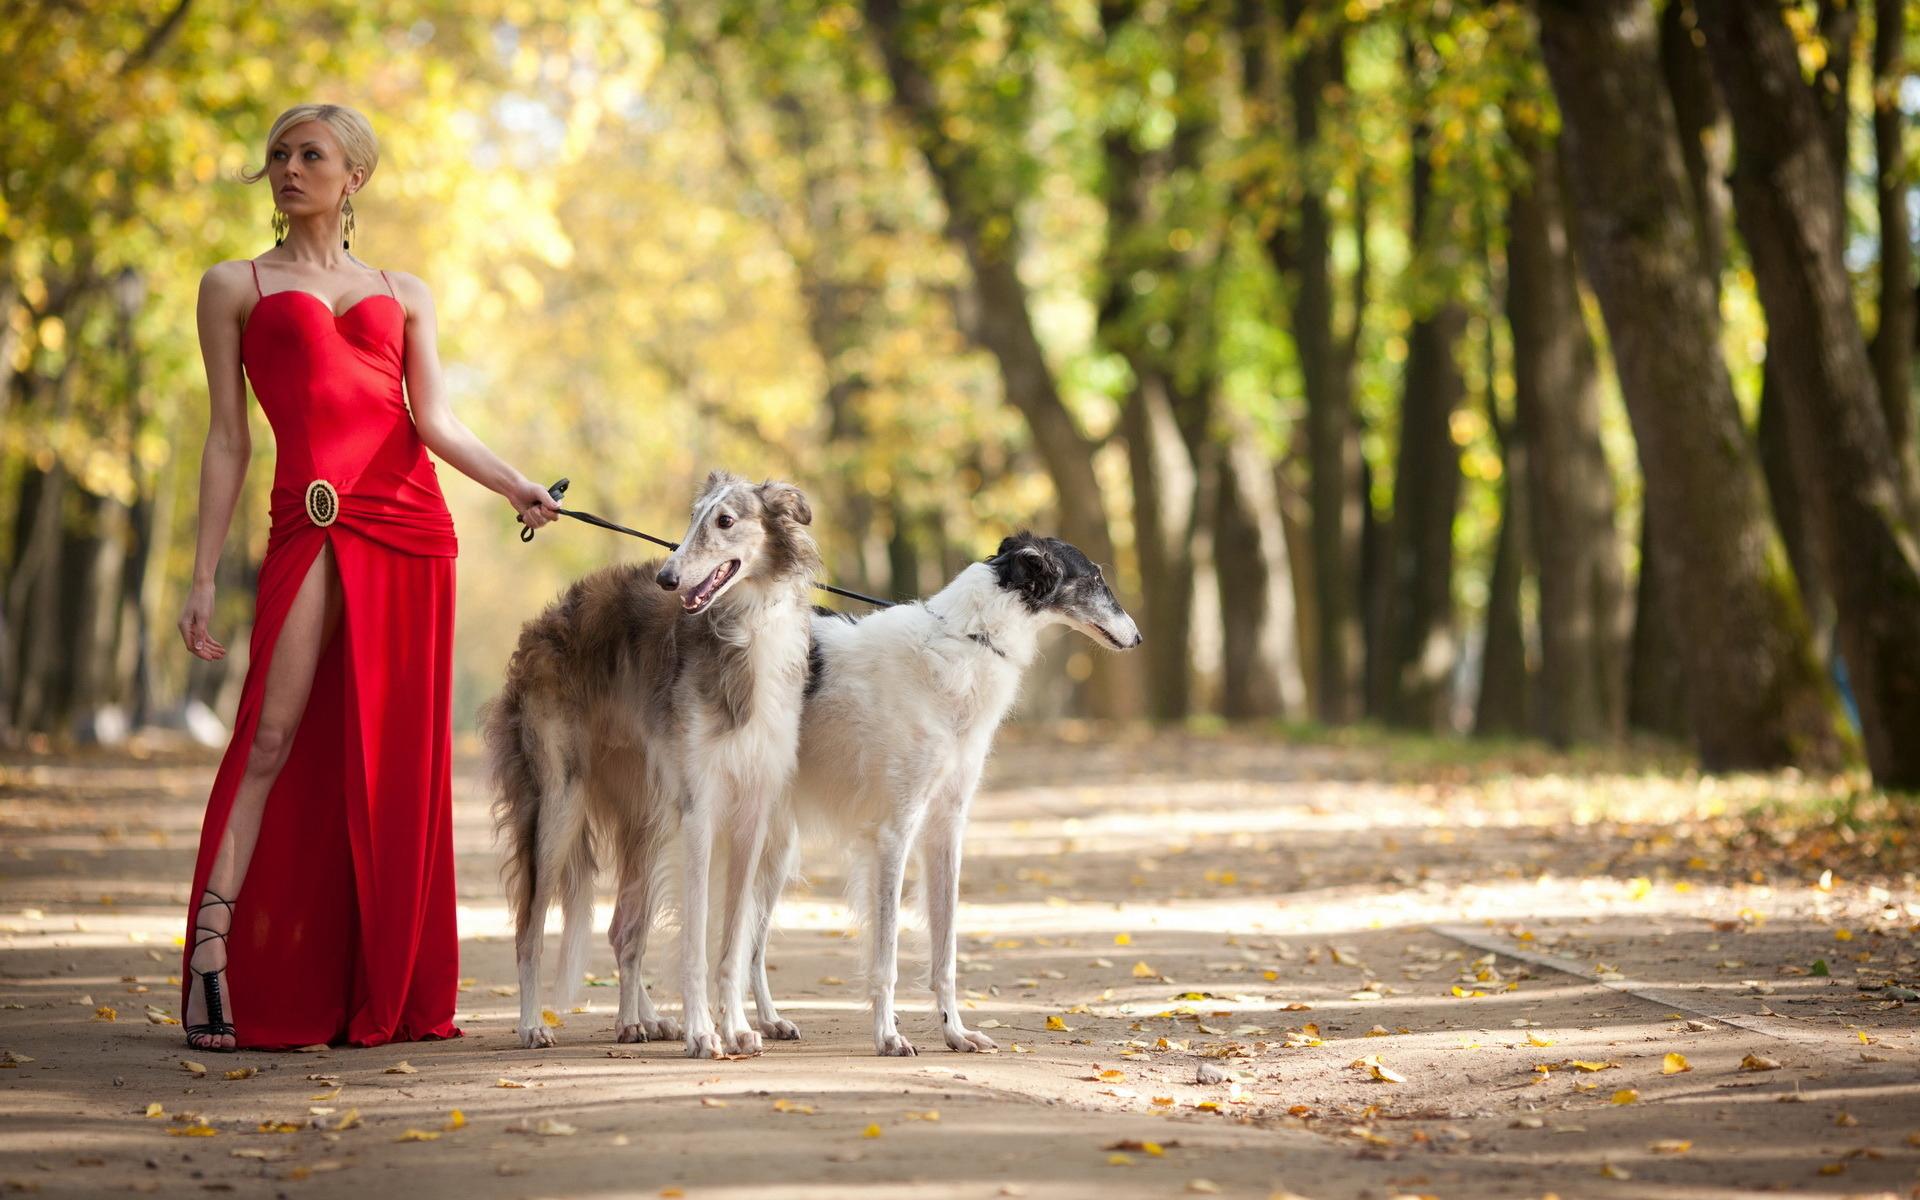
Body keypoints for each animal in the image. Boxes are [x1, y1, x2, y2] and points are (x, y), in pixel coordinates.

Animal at [487, 472, 817, 1052]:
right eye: (693, 519)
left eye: (725, 521)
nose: (667, 577)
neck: (744, 629)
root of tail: (543, 624)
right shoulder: (701, 807)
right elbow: (697, 939)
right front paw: (704, 1034)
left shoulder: (752, 813)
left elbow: (734, 941)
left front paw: (736, 1029)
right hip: (560, 804)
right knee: (530, 930)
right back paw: (532, 1025)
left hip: (649, 810)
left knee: (624, 927)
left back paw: (637, 1020)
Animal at [744, 529, 1136, 1044]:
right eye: (1094, 578)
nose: (1137, 636)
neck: (970, 642)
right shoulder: (894, 829)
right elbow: (886, 953)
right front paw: (887, 1036)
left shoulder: (946, 825)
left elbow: (946, 950)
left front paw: (956, 1031)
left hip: (775, 844)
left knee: (747, 944)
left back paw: (767, 1020)